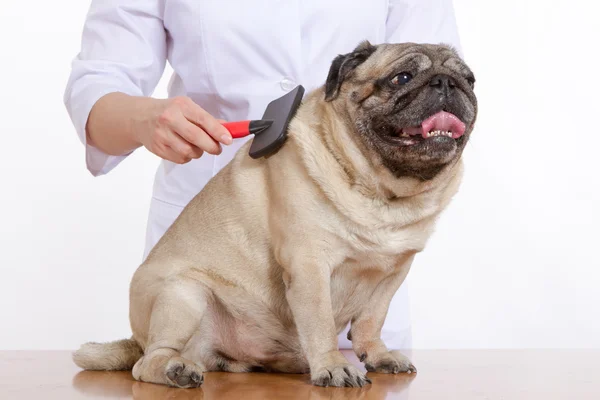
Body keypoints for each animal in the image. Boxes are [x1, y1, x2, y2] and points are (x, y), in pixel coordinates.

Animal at [74, 40, 478, 388]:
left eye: (470, 80)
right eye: (402, 78)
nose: (447, 82)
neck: (384, 192)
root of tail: (137, 338)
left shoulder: (392, 273)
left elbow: (371, 320)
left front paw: (376, 355)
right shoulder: (309, 265)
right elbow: (319, 322)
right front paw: (333, 366)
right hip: (184, 294)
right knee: (148, 362)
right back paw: (176, 370)